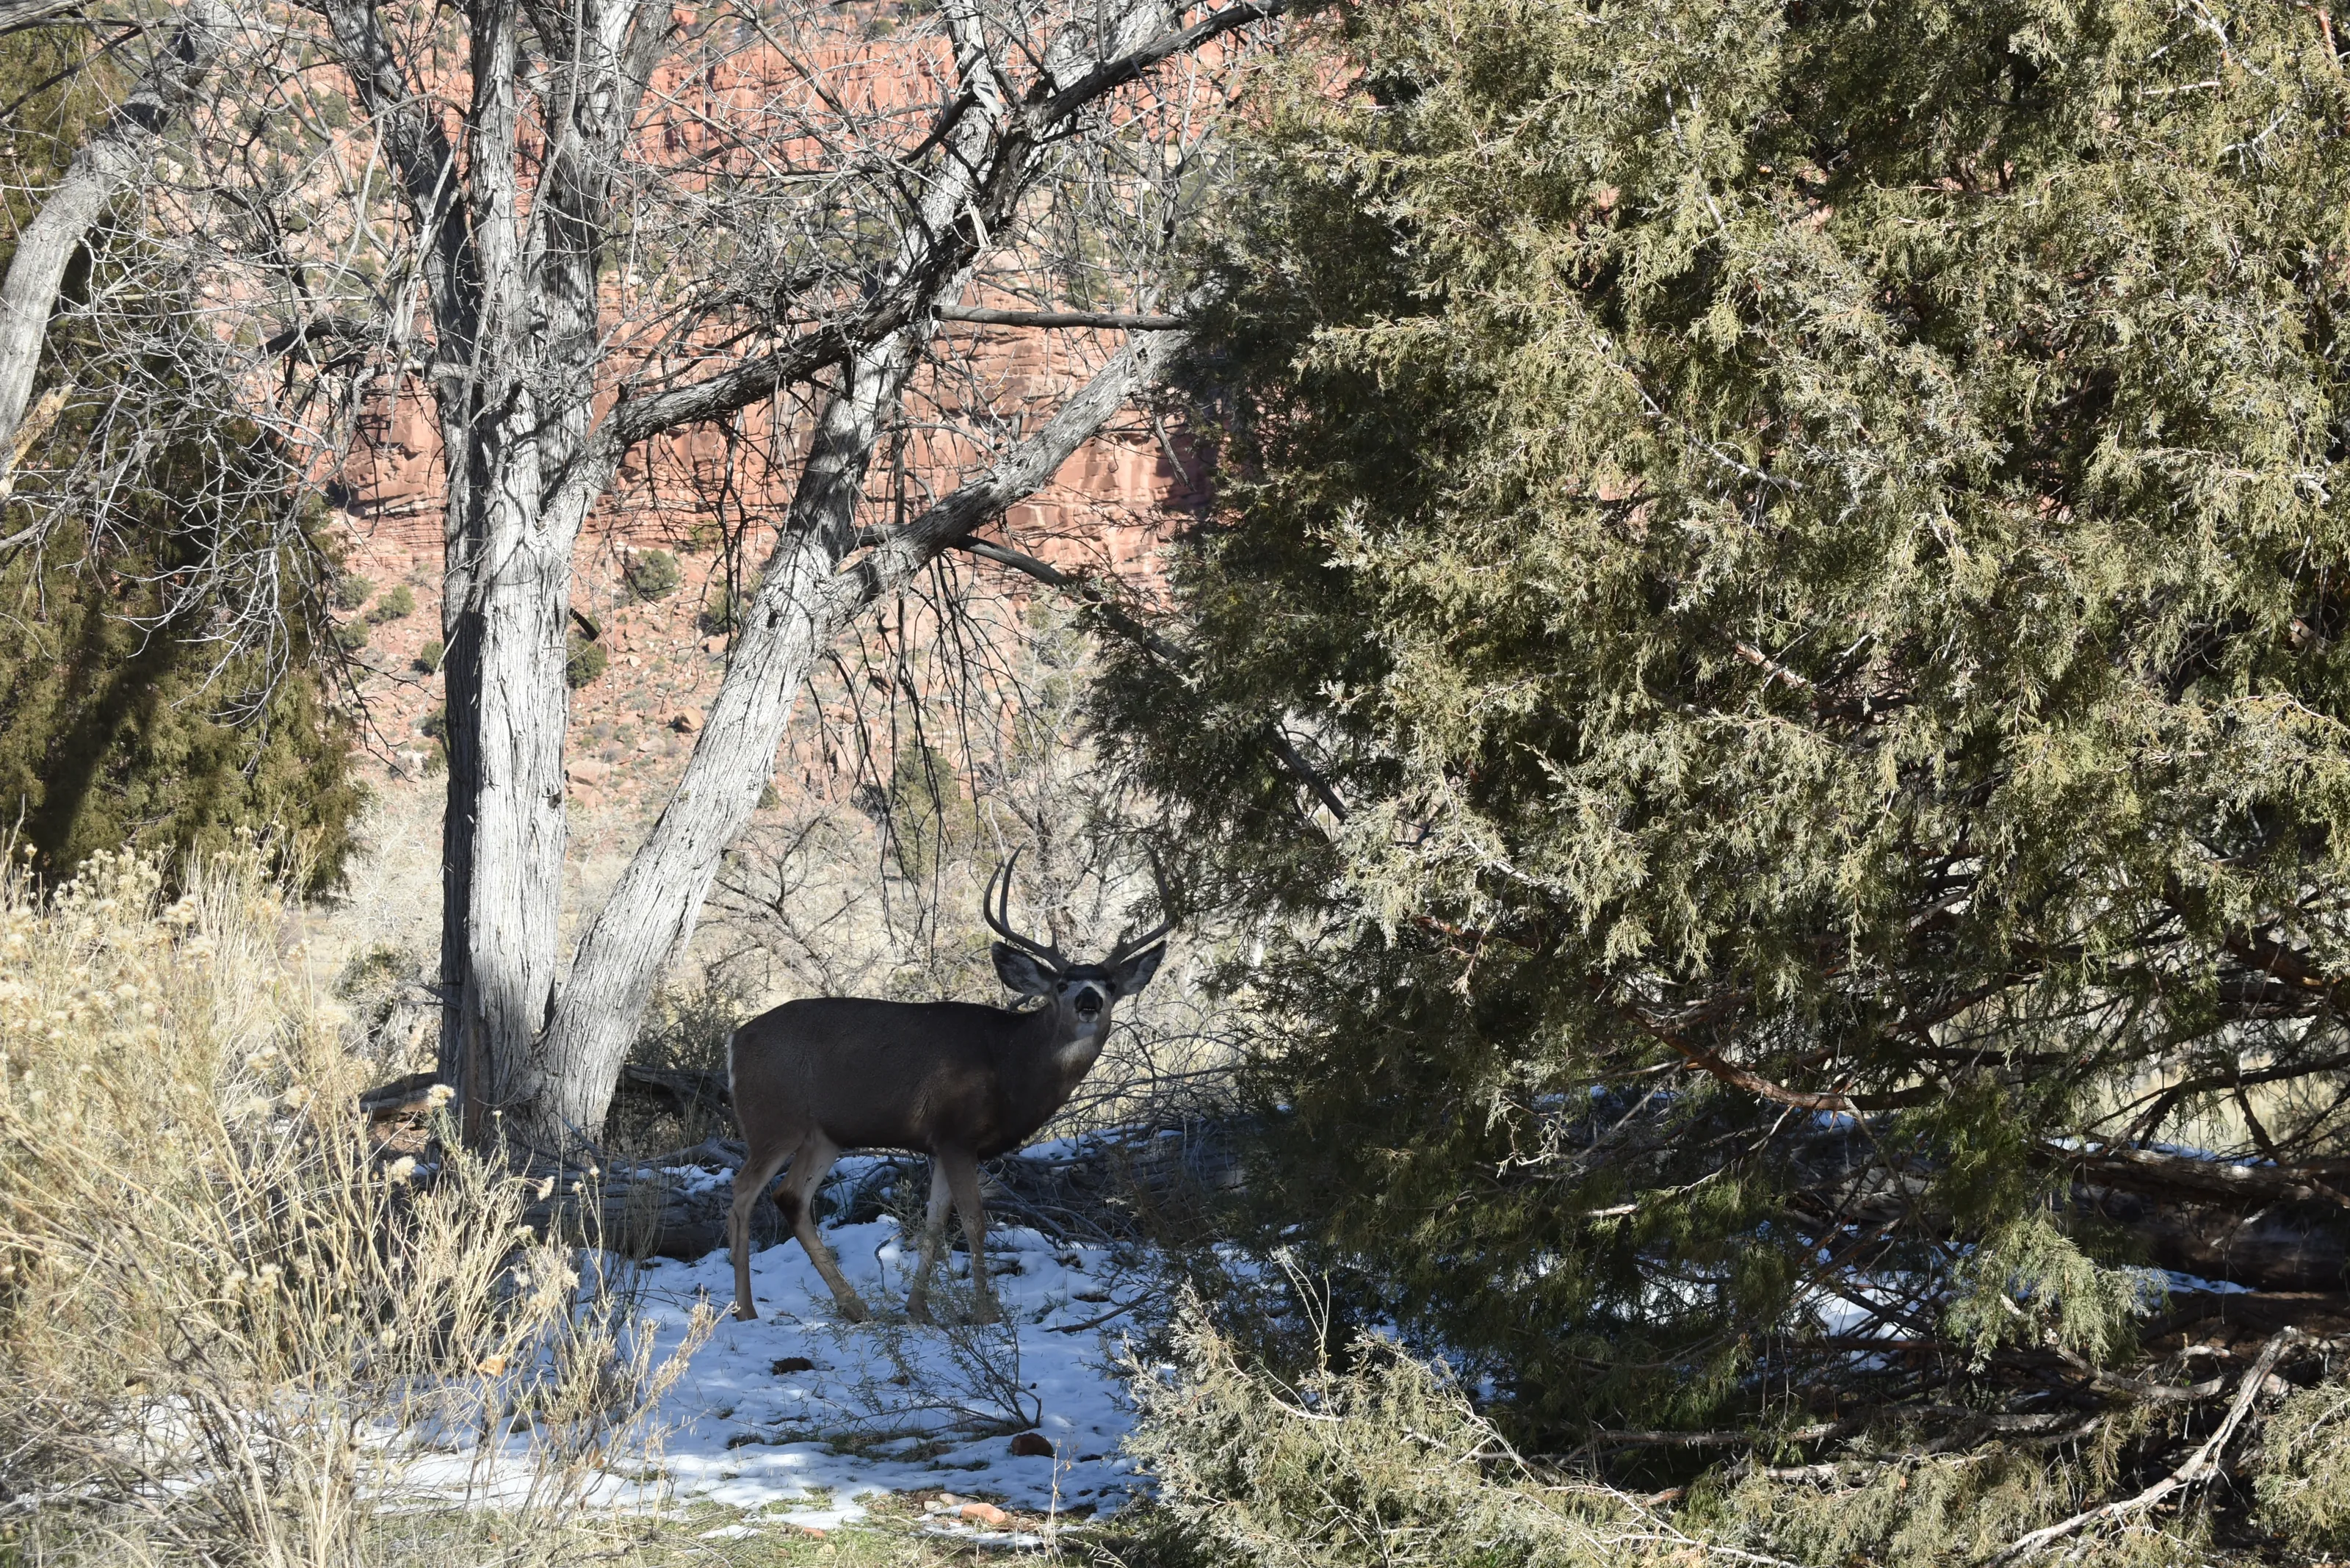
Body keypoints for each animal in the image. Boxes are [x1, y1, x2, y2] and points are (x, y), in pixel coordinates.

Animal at [726, 852, 1171, 1325]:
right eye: (1063, 985)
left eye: (1110, 984)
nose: (1089, 1001)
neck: (1009, 1064)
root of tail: (735, 1041)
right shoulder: (958, 1134)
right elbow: (975, 1221)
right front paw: (986, 1312)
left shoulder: (940, 1143)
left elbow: (935, 1222)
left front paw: (917, 1309)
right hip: (773, 1121)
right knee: (743, 1192)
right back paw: (746, 1310)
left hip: (823, 1135)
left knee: (791, 1197)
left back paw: (854, 1305)